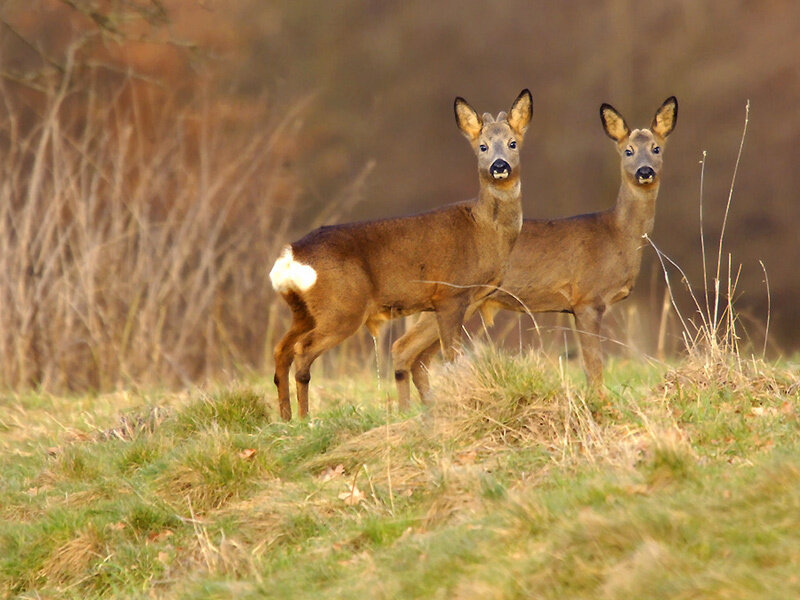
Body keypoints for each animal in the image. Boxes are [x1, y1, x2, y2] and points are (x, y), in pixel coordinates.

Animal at [269, 89, 533, 420]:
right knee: (302, 351)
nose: (499, 166)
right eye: (482, 146)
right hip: (342, 307)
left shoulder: (462, 300)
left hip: (303, 310)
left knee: (281, 351)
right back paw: (306, 419)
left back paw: (286, 419)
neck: (485, 229)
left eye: (513, 143)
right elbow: (451, 355)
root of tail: (291, 256)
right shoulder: (451, 294)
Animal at [392, 96, 678, 407]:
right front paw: (599, 402)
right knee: (403, 348)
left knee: (420, 358)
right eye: (628, 150)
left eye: (656, 148)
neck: (617, 236)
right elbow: (594, 364)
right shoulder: (587, 298)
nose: (645, 171)